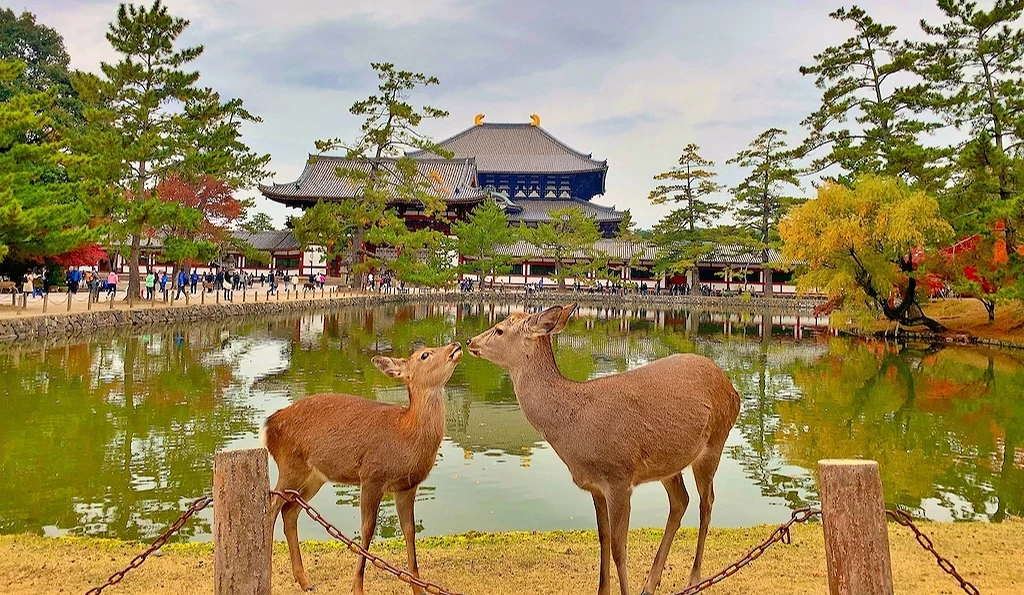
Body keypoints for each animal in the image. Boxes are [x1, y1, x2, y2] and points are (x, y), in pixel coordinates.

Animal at [263, 342, 463, 594]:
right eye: (424, 354)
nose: (456, 345)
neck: (406, 435)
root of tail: (268, 427)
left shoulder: (407, 487)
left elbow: (409, 530)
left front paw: (418, 587)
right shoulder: (372, 476)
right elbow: (367, 529)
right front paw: (356, 586)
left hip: (314, 477)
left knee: (290, 510)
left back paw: (305, 581)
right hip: (290, 465)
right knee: (271, 508)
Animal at [467, 304, 740, 595]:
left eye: (499, 330)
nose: (470, 342)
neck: (576, 428)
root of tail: (734, 391)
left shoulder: (619, 477)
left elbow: (619, 548)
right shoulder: (595, 486)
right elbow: (603, 539)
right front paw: (603, 589)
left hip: (715, 443)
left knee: (706, 503)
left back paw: (694, 578)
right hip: (669, 463)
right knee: (681, 501)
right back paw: (650, 583)